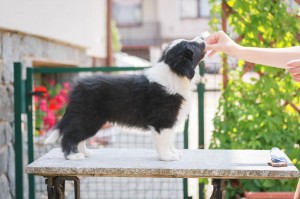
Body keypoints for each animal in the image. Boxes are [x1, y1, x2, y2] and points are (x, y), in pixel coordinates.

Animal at [44, 37, 206, 161]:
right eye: (193, 45)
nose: (203, 38)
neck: (175, 74)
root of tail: (77, 87)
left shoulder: (171, 121)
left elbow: (170, 139)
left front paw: (174, 152)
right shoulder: (163, 121)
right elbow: (165, 140)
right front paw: (167, 157)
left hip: (89, 119)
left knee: (79, 135)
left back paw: (84, 152)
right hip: (88, 117)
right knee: (70, 135)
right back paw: (73, 156)